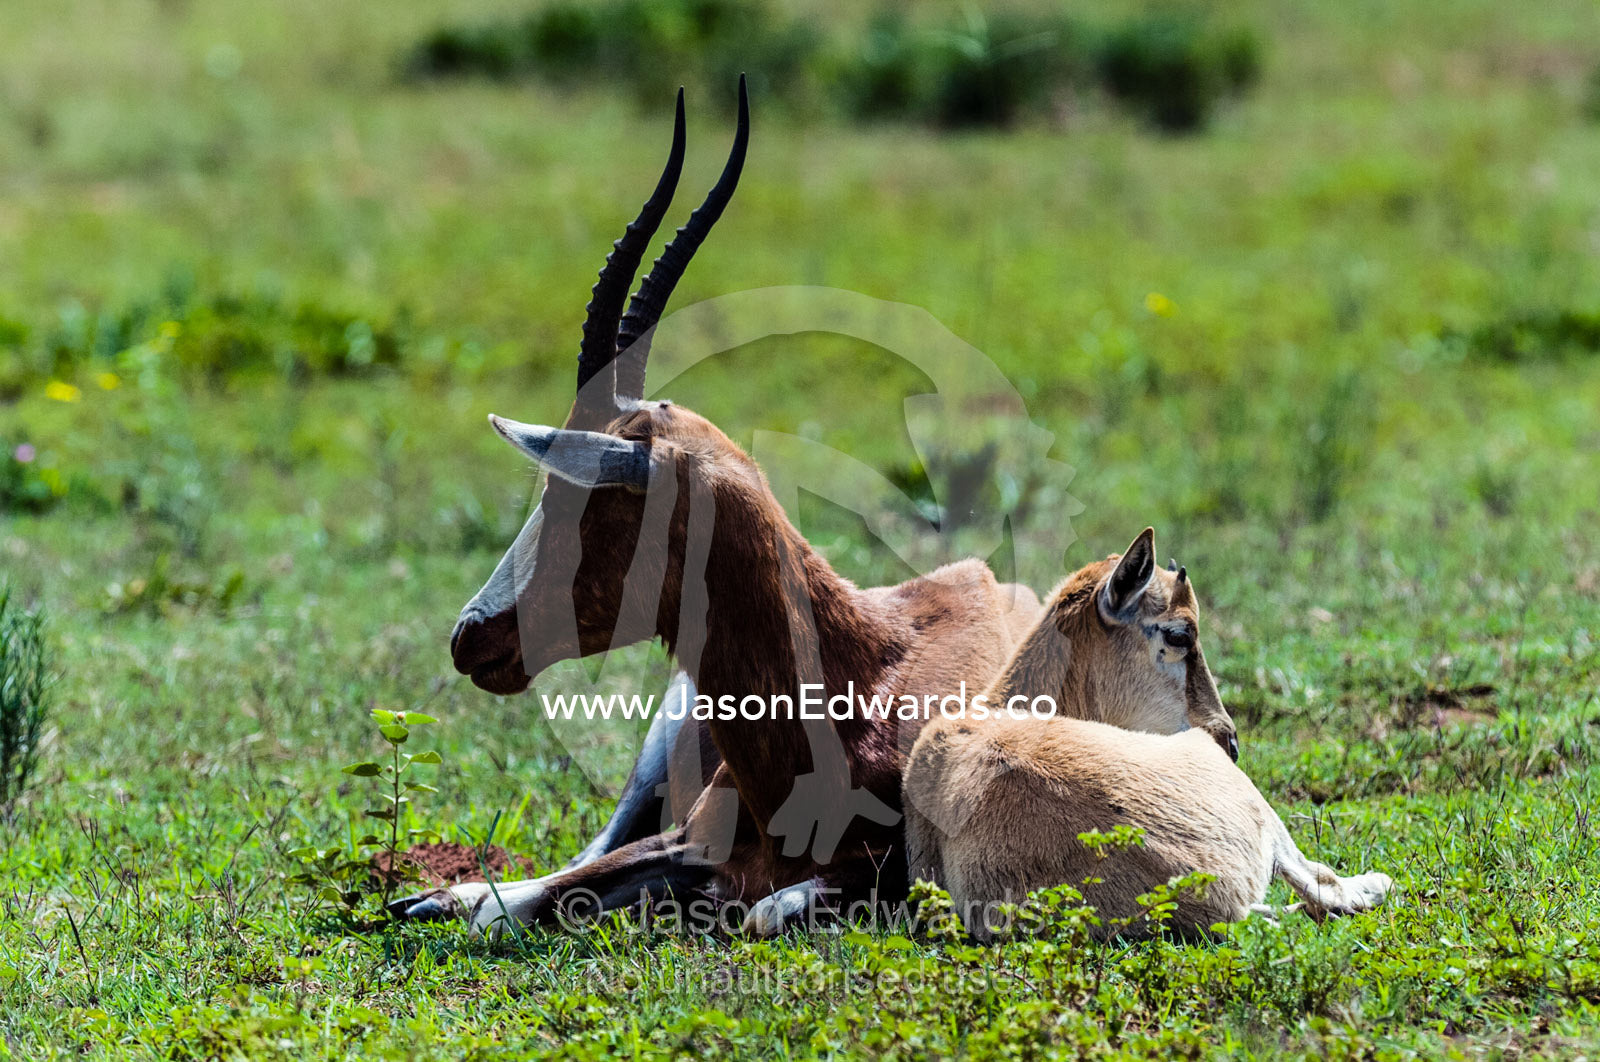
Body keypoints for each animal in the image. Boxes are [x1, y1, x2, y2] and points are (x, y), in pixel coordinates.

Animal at [392, 78, 1067, 937]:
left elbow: (767, 908)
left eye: (579, 496)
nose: (470, 636)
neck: (862, 686)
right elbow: (546, 892)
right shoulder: (688, 835)